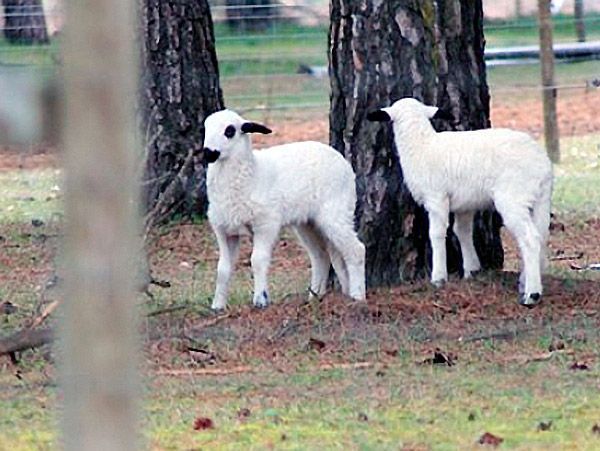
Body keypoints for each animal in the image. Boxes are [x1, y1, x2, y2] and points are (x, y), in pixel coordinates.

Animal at [202, 108, 366, 310]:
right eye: (205, 129)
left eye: (230, 131)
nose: (208, 153)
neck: (252, 175)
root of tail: (343, 162)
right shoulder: (224, 230)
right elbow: (223, 268)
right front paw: (217, 305)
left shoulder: (266, 224)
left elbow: (257, 260)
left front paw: (261, 300)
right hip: (308, 223)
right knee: (321, 256)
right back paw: (315, 297)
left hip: (336, 211)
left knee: (356, 250)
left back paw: (357, 296)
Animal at [368, 98, 556, 308]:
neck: (422, 145)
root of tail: (543, 164)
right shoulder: (465, 204)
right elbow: (462, 232)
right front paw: (471, 269)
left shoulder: (437, 197)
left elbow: (436, 233)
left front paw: (438, 277)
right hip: (540, 199)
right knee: (541, 235)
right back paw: (527, 280)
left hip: (513, 197)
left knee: (530, 238)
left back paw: (532, 294)